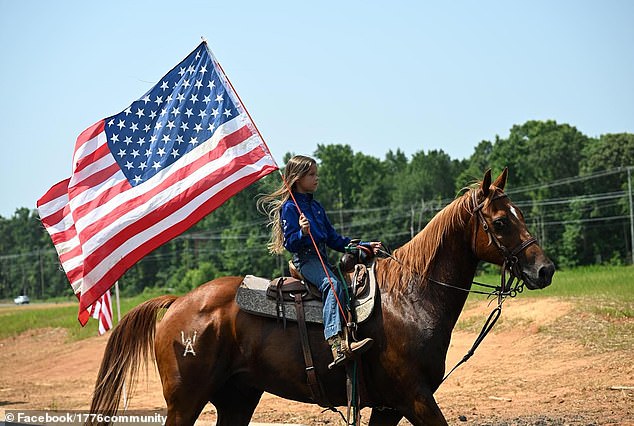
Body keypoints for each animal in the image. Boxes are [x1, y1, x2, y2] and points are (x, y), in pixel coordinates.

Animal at [89, 168, 552, 424]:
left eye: (521, 215)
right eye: (500, 221)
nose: (544, 269)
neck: (411, 300)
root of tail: (178, 304)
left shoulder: (388, 407)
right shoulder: (415, 398)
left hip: (237, 399)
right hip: (185, 403)